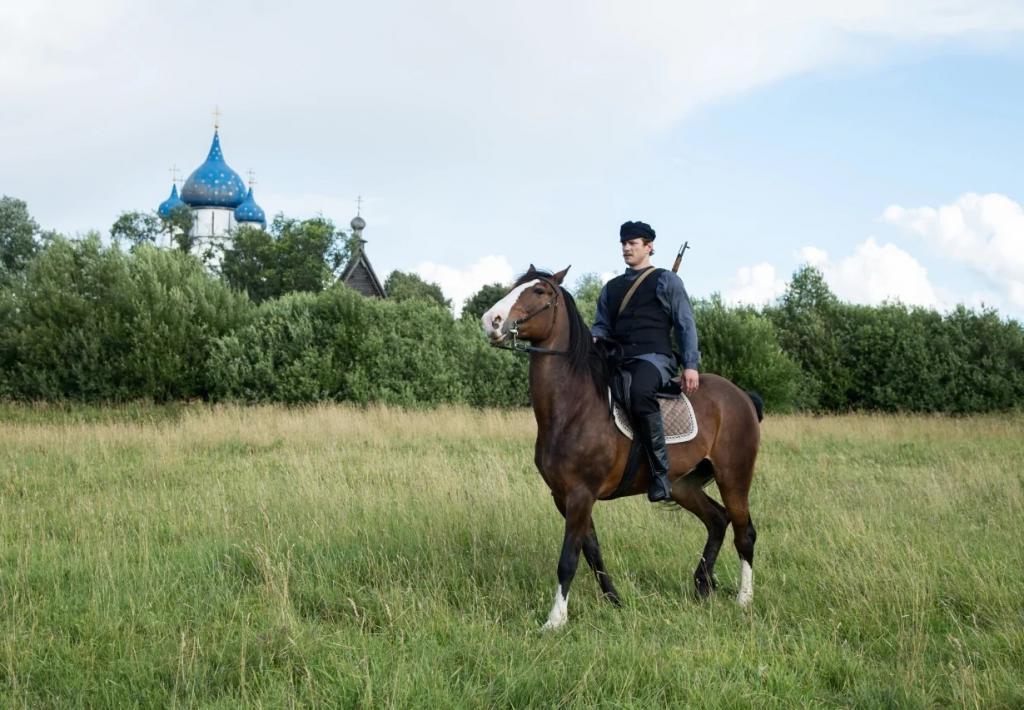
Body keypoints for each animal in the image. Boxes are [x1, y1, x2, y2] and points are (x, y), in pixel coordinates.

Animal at [483, 264, 765, 627]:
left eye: (540, 291)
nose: (490, 320)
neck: (574, 406)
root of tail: (741, 396)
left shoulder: (581, 494)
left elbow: (569, 558)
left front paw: (555, 620)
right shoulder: (564, 496)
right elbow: (591, 551)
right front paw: (614, 601)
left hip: (734, 477)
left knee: (745, 532)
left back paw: (743, 600)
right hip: (683, 485)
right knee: (717, 520)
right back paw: (703, 585)